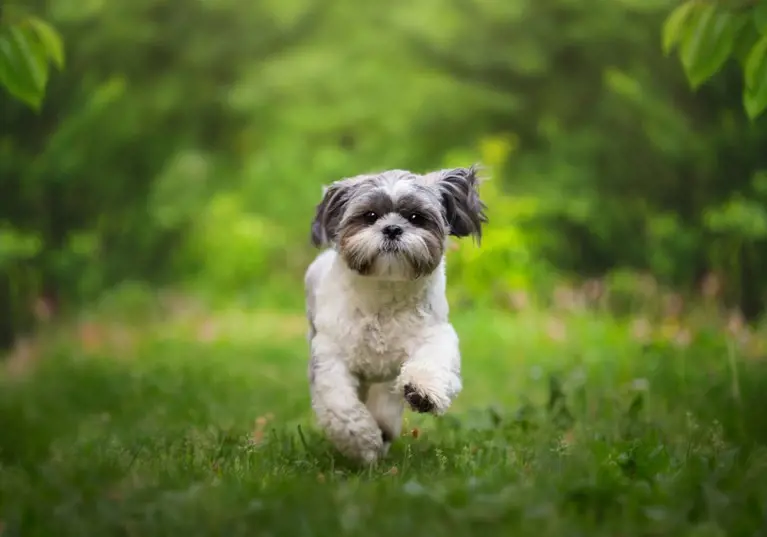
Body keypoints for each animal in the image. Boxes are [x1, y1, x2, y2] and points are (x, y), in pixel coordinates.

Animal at [304, 165, 486, 462]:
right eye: (370, 216)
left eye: (415, 217)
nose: (392, 228)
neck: (384, 296)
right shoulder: (330, 355)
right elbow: (341, 405)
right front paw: (363, 441)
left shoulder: (436, 335)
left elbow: (432, 361)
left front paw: (422, 392)